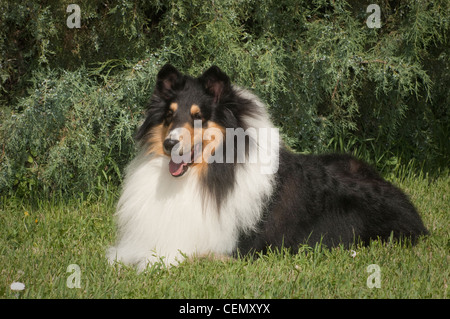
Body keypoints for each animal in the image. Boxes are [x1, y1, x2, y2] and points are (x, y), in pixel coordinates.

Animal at [106, 64, 428, 270]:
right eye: (170, 116)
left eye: (199, 117)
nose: (169, 144)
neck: (212, 171)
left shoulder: (233, 251)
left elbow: (175, 256)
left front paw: (146, 263)